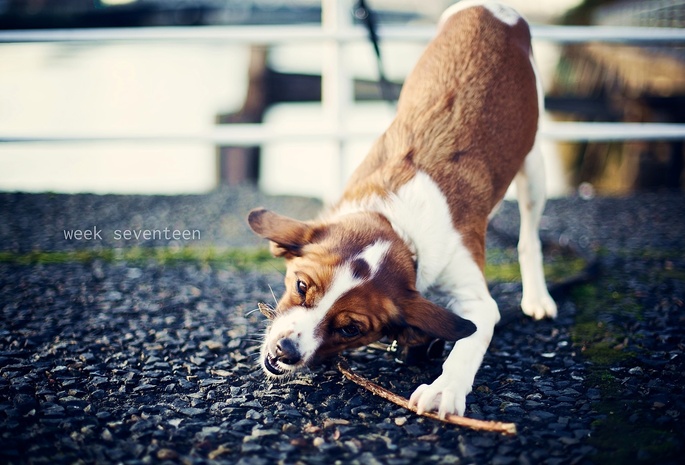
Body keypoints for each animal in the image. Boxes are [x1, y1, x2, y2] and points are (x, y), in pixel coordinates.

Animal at [246, 0, 556, 418]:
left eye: (350, 329)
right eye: (300, 286)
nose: (285, 352)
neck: (398, 223)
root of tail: (492, 9)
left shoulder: (475, 296)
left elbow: (469, 341)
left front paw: (445, 389)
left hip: (535, 164)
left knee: (529, 237)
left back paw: (537, 297)